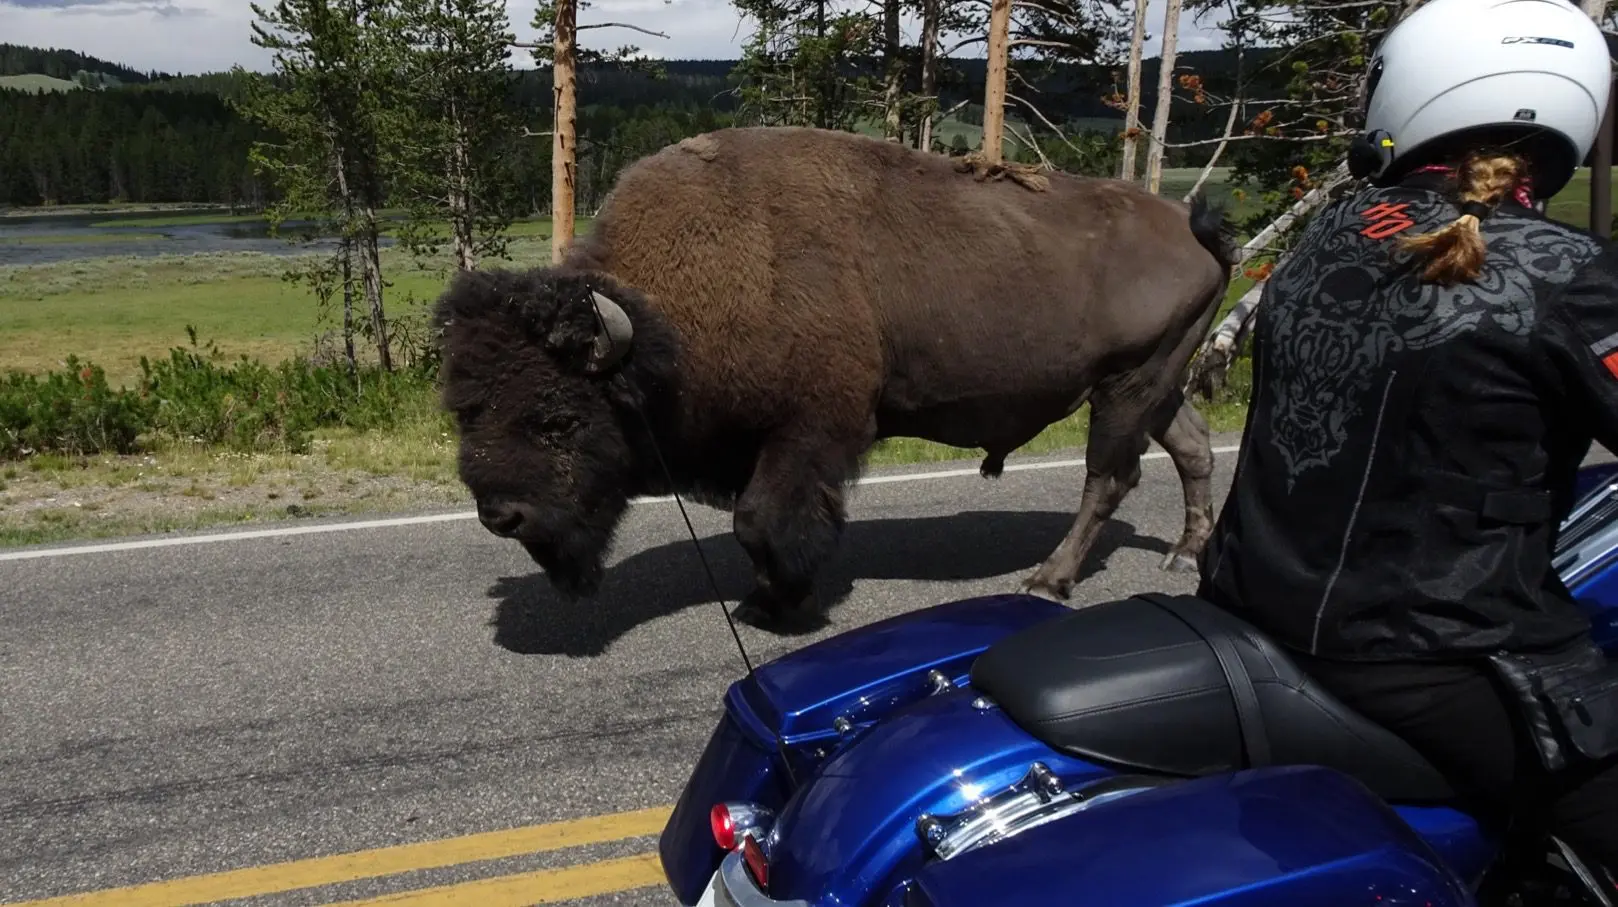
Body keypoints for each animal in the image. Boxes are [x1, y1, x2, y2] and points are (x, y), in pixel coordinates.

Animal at [434, 125, 1235, 630]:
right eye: (465, 409)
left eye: (560, 419)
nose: (500, 515)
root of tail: (1191, 225)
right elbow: (752, 522)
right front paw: (766, 598)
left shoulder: (813, 431)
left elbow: (760, 519)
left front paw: (779, 605)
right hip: (1160, 383)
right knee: (1191, 448)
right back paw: (1183, 553)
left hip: (1127, 386)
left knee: (1109, 476)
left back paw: (1048, 579)